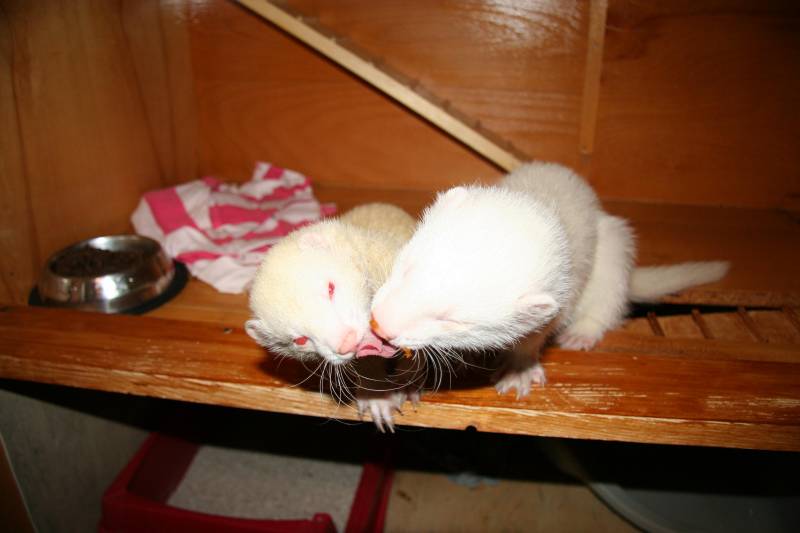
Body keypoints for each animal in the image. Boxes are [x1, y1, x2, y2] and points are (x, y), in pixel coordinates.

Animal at [370, 162, 729, 397]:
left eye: (453, 320)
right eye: (407, 266)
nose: (381, 325)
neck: (542, 199)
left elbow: (534, 339)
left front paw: (519, 372)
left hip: (615, 249)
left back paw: (582, 334)